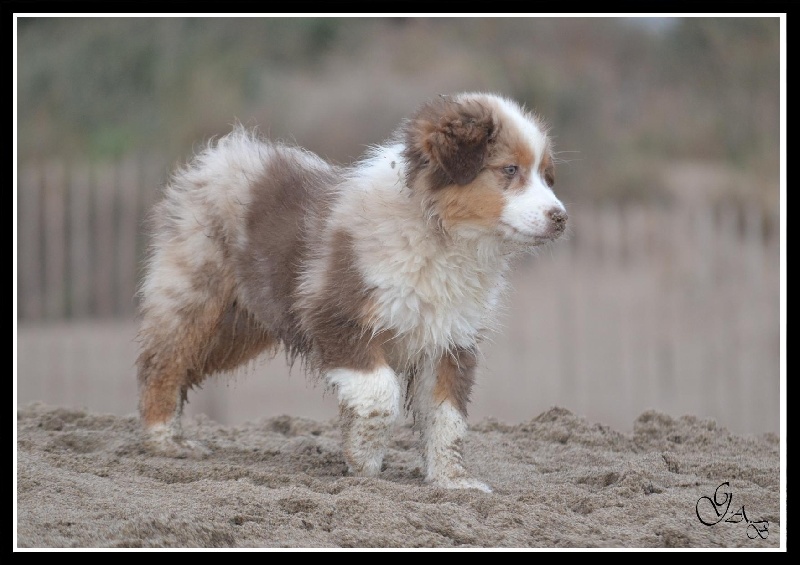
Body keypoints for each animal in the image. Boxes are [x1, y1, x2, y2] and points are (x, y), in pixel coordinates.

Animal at [134, 91, 564, 490]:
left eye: (546, 176)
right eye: (509, 169)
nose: (561, 217)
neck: (439, 235)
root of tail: (218, 155)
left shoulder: (449, 340)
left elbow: (447, 416)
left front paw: (453, 480)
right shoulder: (337, 316)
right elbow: (380, 394)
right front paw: (363, 459)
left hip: (240, 327)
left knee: (183, 364)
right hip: (197, 294)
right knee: (163, 362)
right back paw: (165, 440)